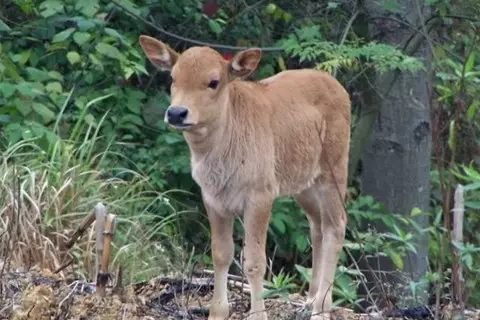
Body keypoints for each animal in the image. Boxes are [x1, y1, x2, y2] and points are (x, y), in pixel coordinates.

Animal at [139, 35, 352, 320]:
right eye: (173, 77)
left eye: (213, 81)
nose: (176, 113)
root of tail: (339, 88)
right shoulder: (213, 198)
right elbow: (221, 254)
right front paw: (217, 312)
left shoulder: (261, 195)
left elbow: (254, 261)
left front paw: (257, 313)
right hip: (304, 184)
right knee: (318, 227)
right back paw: (309, 300)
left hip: (334, 170)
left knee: (336, 226)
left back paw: (321, 308)